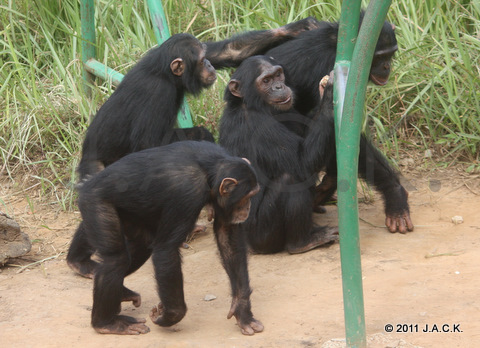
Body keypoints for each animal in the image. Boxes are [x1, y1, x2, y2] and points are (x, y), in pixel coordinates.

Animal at [77, 140, 262, 336]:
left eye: (252, 195)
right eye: (247, 197)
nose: (248, 208)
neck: (209, 171)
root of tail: (86, 185)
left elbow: (228, 236)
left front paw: (242, 309)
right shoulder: (187, 195)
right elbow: (167, 250)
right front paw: (170, 316)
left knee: (141, 245)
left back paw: (120, 292)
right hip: (95, 202)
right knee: (116, 259)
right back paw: (106, 323)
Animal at [219, 55, 340, 254]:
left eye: (278, 75)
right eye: (266, 81)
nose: (278, 87)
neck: (256, 106)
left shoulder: (289, 111)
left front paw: (323, 89)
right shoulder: (258, 126)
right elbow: (302, 161)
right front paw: (330, 90)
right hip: (263, 235)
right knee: (290, 178)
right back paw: (302, 242)